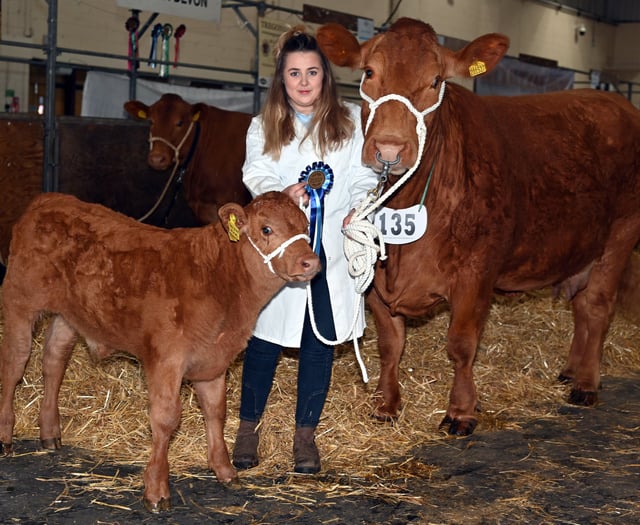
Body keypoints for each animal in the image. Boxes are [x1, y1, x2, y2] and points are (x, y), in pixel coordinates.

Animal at [0, 190, 320, 510]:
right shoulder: (166, 359)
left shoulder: (213, 360)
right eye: (266, 229)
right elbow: (165, 419)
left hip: (70, 315)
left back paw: (49, 433)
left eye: (306, 226)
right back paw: (5, 435)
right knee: (14, 364)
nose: (311, 261)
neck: (218, 279)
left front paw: (224, 470)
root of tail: (49, 199)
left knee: (54, 360)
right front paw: (156, 488)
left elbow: (216, 411)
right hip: (20, 300)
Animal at [318, 17, 640, 434]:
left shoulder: (476, 274)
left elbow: (461, 344)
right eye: (369, 72)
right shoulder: (375, 278)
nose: (389, 149)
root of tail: (617, 102)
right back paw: (571, 370)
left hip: (621, 235)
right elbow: (390, 344)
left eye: (436, 80)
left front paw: (461, 411)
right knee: (581, 308)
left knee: (597, 306)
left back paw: (586, 383)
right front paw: (386, 404)